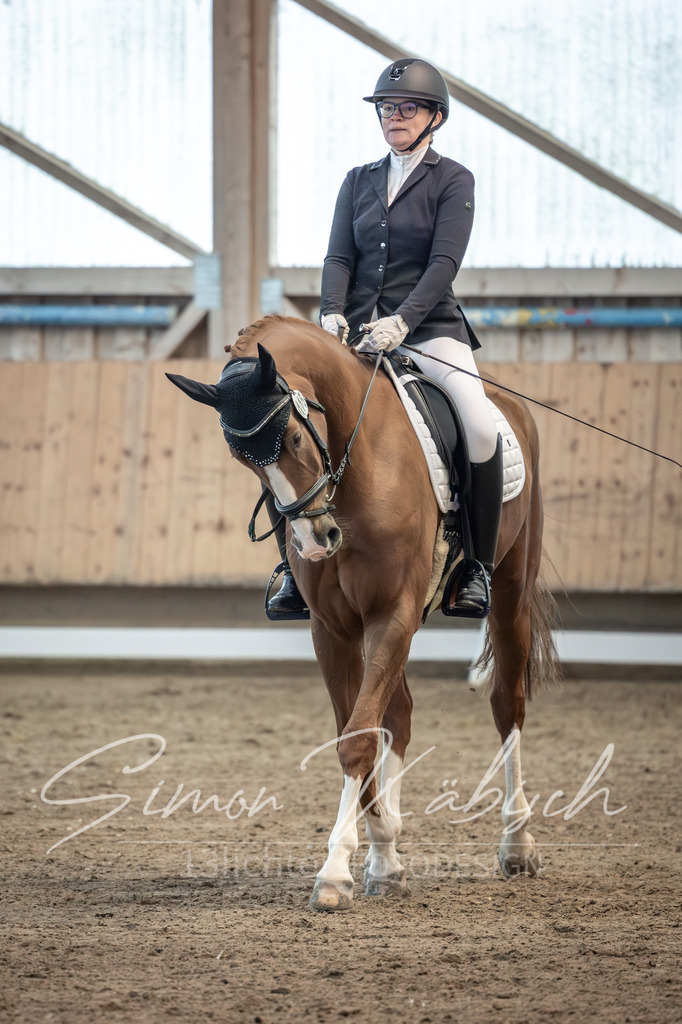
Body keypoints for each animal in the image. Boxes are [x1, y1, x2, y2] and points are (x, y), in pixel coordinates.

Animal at [167, 314, 559, 912]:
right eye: (242, 461)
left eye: (295, 436)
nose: (316, 541)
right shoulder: (333, 630)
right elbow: (359, 729)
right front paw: (376, 855)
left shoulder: (391, 613)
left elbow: (358, 738)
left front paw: (333, 873)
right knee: (400, 713)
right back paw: (387, 856)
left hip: (510, 592)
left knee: (506, 705)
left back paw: (516, 846)